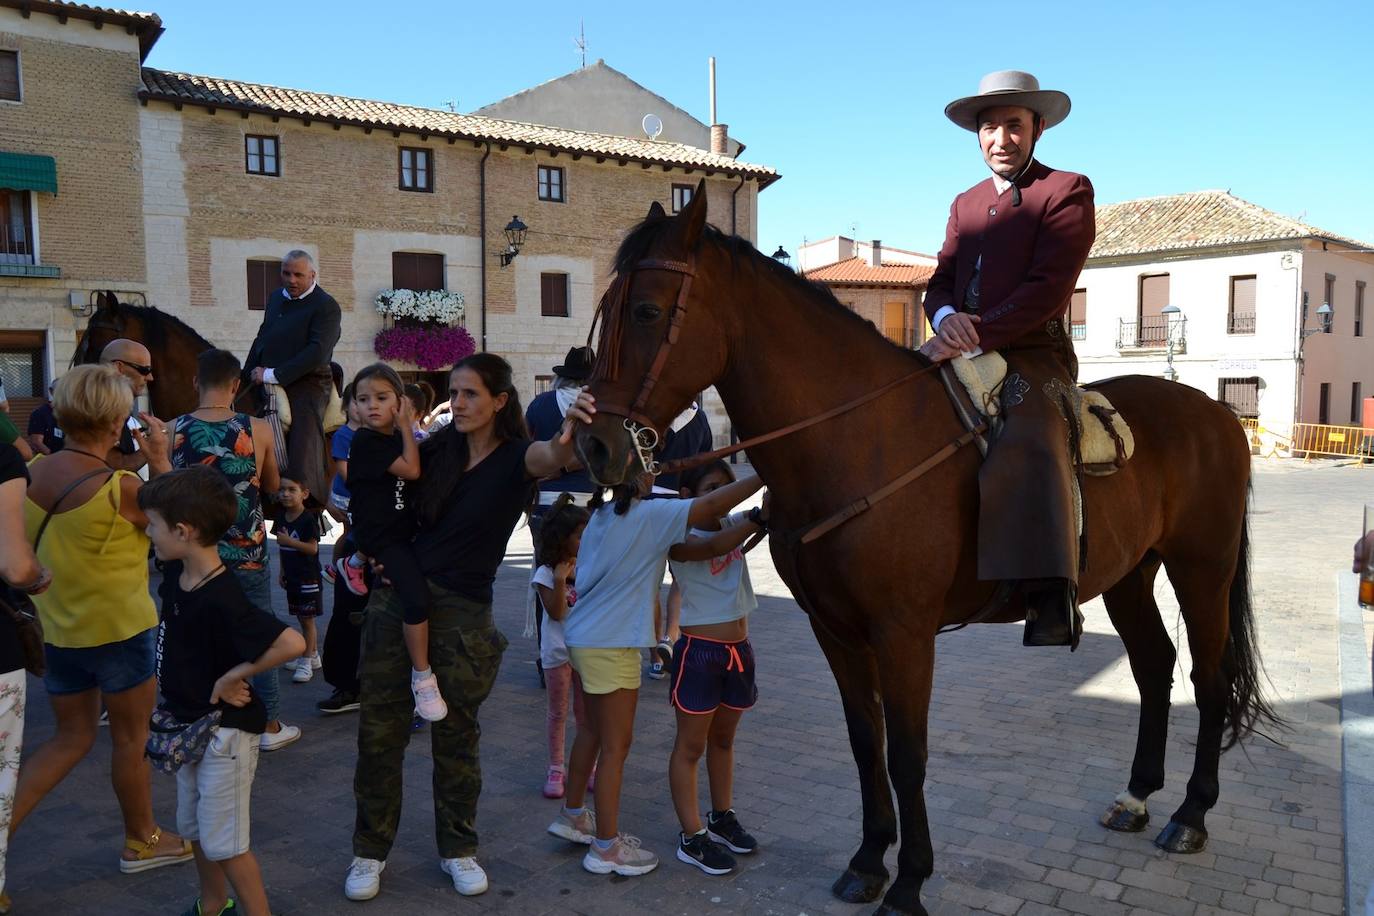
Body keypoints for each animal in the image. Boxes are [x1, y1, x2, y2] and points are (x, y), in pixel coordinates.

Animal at [574, 188, 1280, 916]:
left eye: (648, 310)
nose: (594, 445)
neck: (861, 439)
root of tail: (1219, 414)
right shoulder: (836, 631)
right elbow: (867, 743)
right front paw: (867, 861)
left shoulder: (904, 633)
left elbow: (907, 755)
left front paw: (909, 881)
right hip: (1130, 576)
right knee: (1153, 666)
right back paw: (1137, 797)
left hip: (1202, 569)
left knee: (1209, 680)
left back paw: (1190, 816)